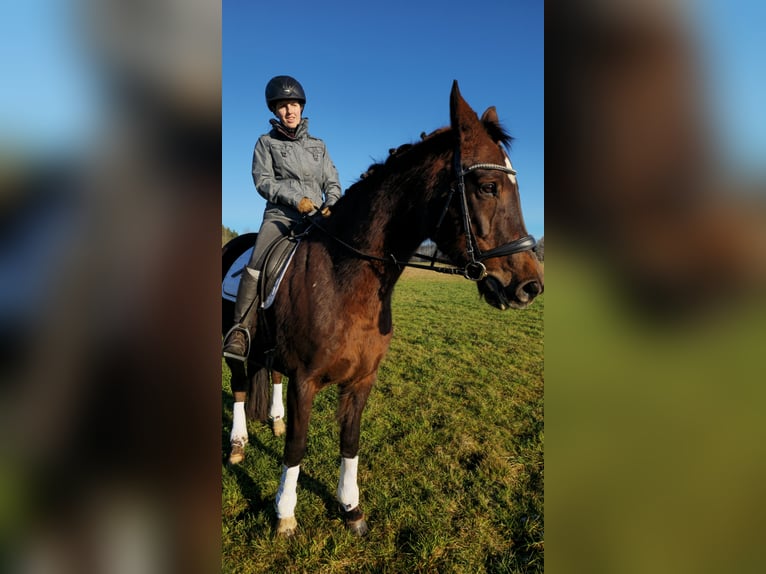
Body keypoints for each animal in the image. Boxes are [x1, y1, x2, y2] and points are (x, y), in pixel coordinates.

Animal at [222, 82, 544, 540]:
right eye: (487, 187)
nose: (530, 286)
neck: (344, 279)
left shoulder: (361, 380)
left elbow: (350, 440)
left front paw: (350, 508)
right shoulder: (306, 379)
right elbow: (297, 446)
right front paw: (284, 513)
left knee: (271, 379)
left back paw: (276, 420)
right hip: (236, 346)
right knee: (238, 386)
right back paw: (238, 445)